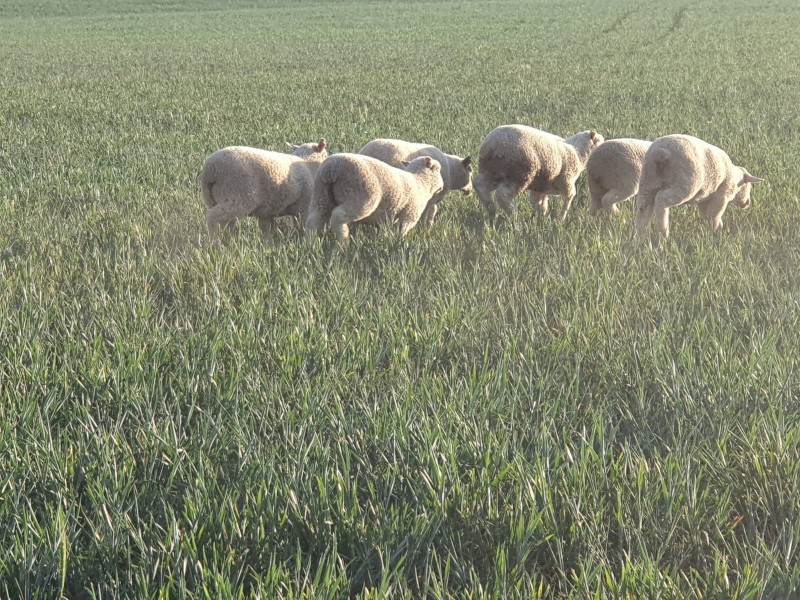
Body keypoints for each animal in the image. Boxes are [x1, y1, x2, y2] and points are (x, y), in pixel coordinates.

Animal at [305, 153, 444, 242]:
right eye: (438, 169)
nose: (442, 186)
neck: (420, 182)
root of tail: (333, 168)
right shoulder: (408, 216)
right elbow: (401, 233)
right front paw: (399, 243)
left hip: (321, 194)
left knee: (314, 218)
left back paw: (311, 242)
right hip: (361, 198)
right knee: (338, 216)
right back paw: (343, 242)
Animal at [473, 125, 604, 222]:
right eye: (599, 142)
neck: (578, 152)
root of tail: (492, 144)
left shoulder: (541, 185)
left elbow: (540, 203)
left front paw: (541, 219)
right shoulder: (567, 180)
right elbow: (569, 198)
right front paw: (561, 219)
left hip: (491, 171)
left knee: (479, 185)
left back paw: (491, 209)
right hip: (520, 173)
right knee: (503, 194)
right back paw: (513, 214)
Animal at [635, 134, 763, 243]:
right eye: (748, 186)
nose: (747, 203)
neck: (735, 179)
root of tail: (660, 152)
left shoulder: (704, 199)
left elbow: (706, 214)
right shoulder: (721, 196)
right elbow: (714, 214)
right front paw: (716, 230)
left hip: (648, 181)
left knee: (643, 208)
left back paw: (641, 239)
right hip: (685, 184)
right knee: (661, 199)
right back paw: (663, 232)